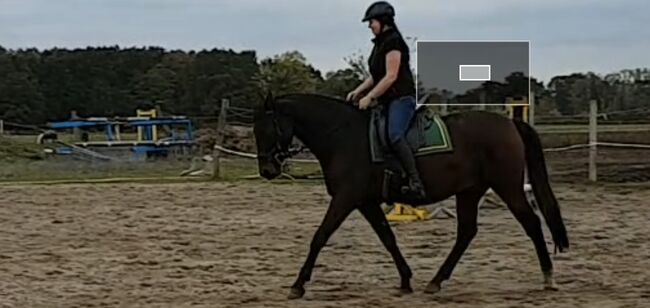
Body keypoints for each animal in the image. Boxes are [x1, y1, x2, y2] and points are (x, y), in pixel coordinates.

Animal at [253, 92, 568, 300]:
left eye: (267, 129)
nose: (267, 170)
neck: (343, 136)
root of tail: (510, 124)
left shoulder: (346, 198)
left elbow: (320, 236)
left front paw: (298, 284)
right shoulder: (365, 201)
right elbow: (387, 237)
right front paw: (405, 279)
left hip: (508, 187)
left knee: (531, 223)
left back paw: (549, 277)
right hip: (469, 191)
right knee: (467, 232)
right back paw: (436, 281)